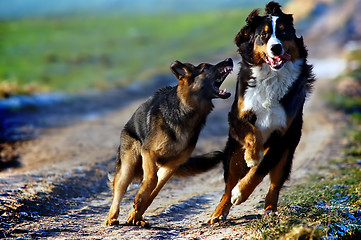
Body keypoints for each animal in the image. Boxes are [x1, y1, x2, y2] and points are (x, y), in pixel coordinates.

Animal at [104, 58, 233, 227]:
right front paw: (137, 201)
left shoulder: (171, 166)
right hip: (128, 166)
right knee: (119, 189)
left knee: (152, 189)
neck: (187, 110)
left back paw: (136, 217)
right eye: (206, 68)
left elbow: (153, 191)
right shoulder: (149, 152)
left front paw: (137, 208)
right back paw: (112, 217)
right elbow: (151, 179)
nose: (229, 59)